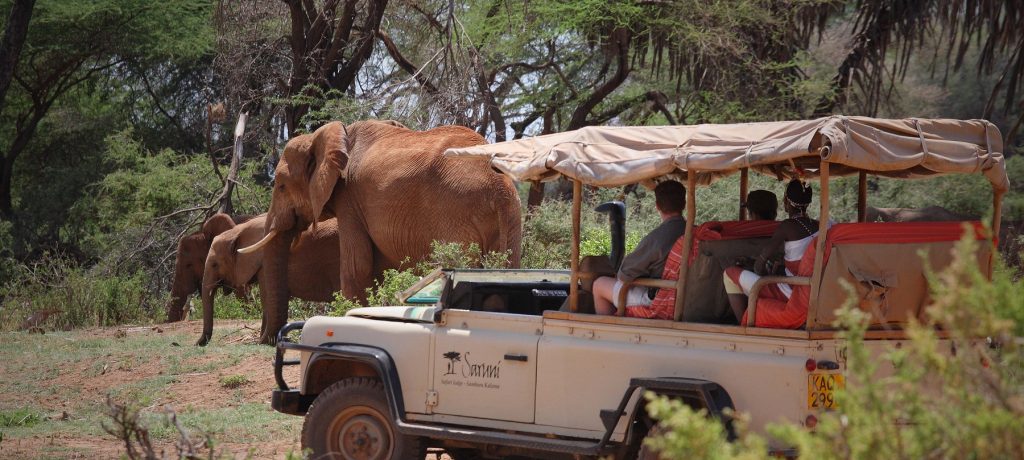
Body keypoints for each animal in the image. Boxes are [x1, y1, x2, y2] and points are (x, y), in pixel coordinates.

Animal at [197, 214, 342, 344]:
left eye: (215, 264)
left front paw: (264, 341)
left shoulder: (264, 265)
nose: (198, 343)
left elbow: (265, 299)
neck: (237, 231)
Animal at [238, 119, 520, 342]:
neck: (327, 135)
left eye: (281, 186)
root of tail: (498, 184)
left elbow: (357, 264)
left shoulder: (350, 199)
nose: (265, 340)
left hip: (454, 213)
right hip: (510, 218)